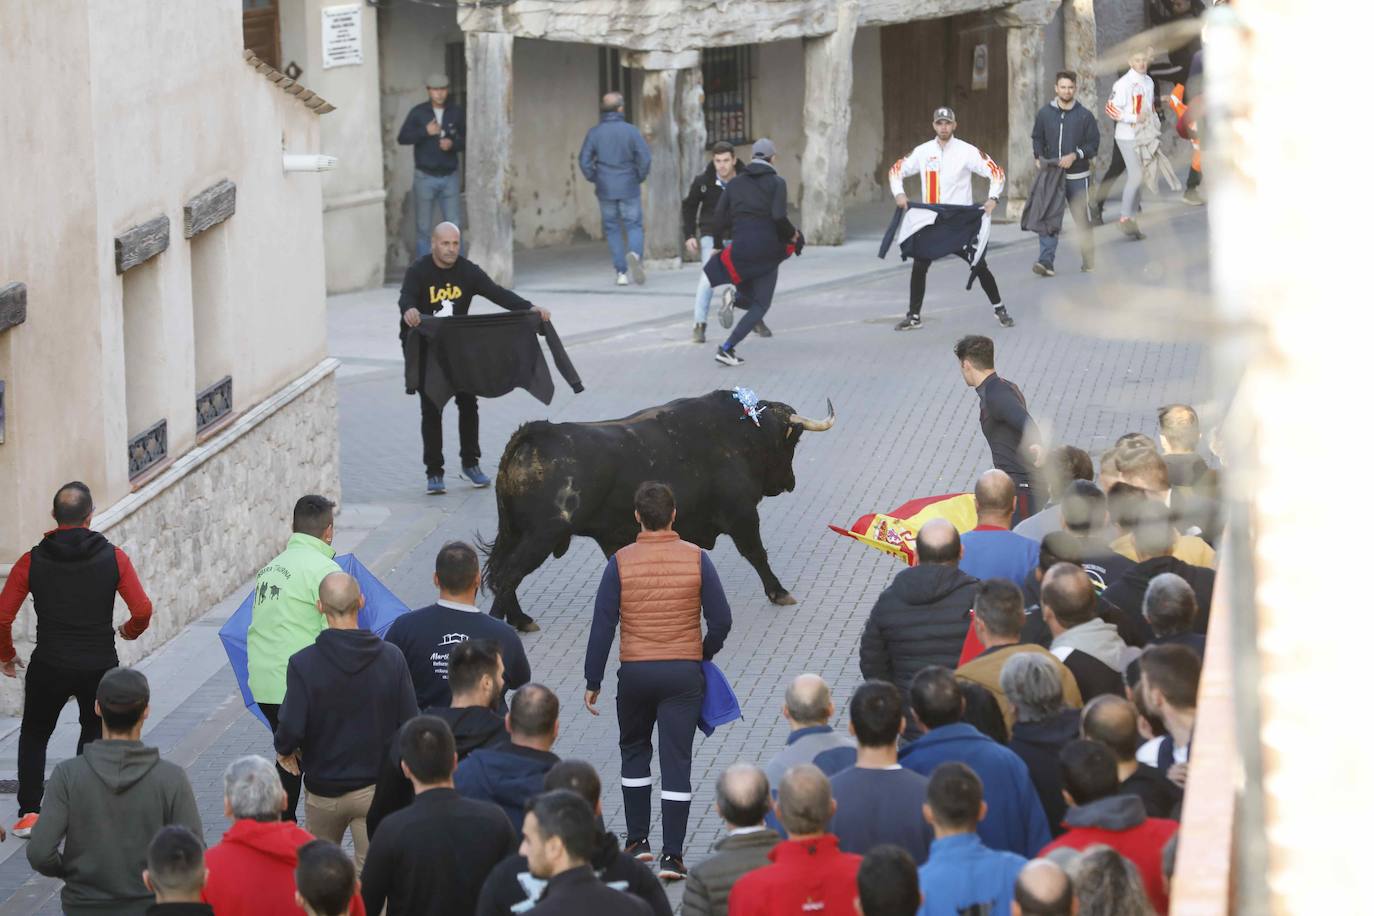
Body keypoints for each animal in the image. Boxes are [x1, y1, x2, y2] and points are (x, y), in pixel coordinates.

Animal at [478, 387, 829, 631]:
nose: (789, 483)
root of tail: (537, 432)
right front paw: (779, 592)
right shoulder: (741, 514)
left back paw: (519, 619)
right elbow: (757, 554)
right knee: (508, 574)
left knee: (501, 574)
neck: (739, 433)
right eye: (792, 442)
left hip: (516, 532)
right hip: (542, 535)